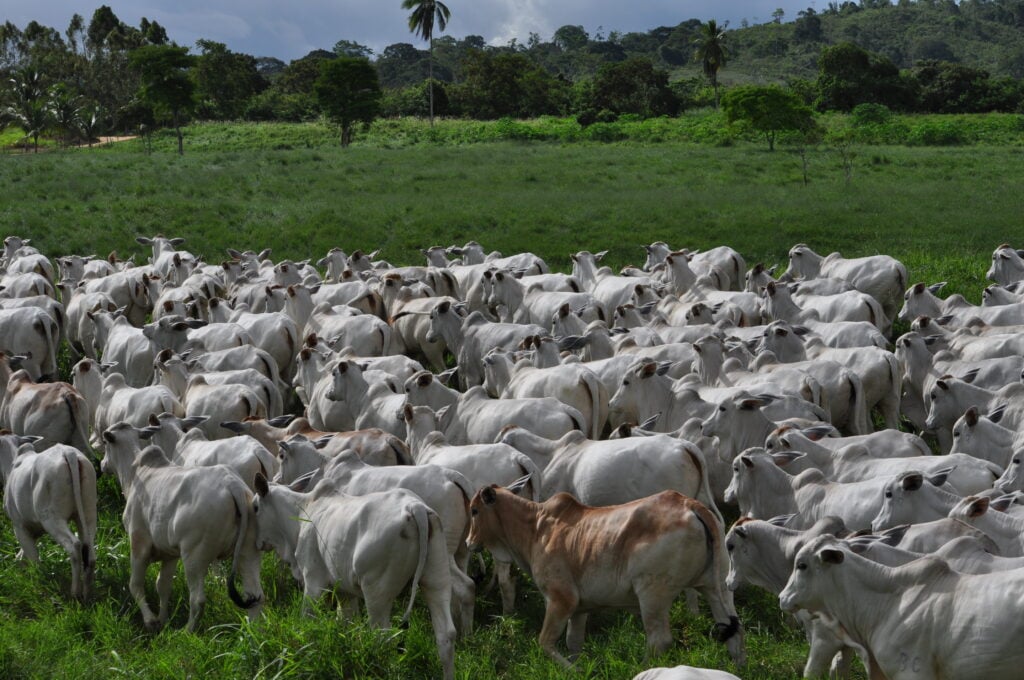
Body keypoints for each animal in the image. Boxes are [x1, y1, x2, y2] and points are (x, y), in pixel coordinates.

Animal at [466, 483, 745, 667]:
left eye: (474, 510)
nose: (468, 542)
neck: (535, 528)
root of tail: (690, 504)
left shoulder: (561, 598)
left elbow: (545, 642)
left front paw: (575, 671)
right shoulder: (579, 609)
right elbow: (573, 643)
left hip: (652, 594)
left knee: (660, 641)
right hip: (717, 587)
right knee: (735, 633)